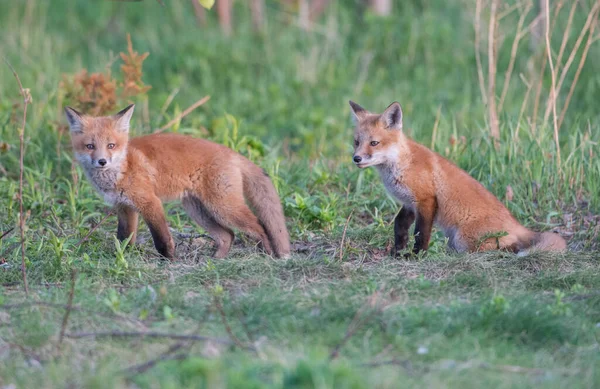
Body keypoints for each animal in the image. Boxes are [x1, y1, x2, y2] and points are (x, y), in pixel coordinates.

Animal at [65, 104, 290, 260]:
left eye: (111, 145)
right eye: (90, 146)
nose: (102, 161)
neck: (123, 167)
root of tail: (231, 152)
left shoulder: (150, 203)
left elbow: (162, 238)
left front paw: (169, 260)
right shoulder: (124, 207)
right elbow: (124, 238)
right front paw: (121, 258)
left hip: (223, 207)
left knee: (259, 226)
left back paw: (268, 255)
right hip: (198, 211)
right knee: (228, 235)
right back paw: (216, 260)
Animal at [350, 100, 564, 255]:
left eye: (374, 143)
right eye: (356, 142)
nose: (356, 158)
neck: (402, 164)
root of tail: (516, 223)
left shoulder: (426, 200)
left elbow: (421, 233)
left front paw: (416, 255)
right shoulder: (410, 203)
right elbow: (399, 227)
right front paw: (397, 251)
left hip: (463, 240)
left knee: (507, 246)